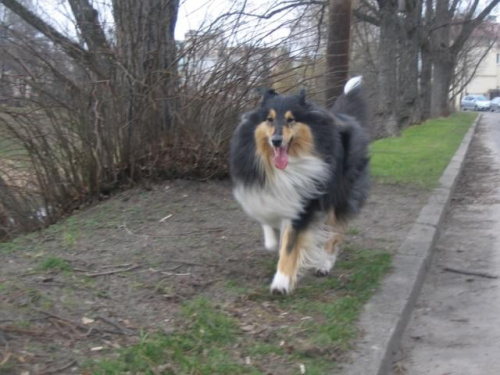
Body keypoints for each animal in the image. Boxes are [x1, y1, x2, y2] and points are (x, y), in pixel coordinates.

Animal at [229, 76, 370, 296]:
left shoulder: (303, 203)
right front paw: (273, 239)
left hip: (338, 193)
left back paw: (324, 264)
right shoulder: (266, 193)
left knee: (335, 231)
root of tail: (344, 116)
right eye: (269, 119)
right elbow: (268, 225)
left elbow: (289, 245)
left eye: (291, 119)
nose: (276, 141)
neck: (285, 167)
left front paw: (281, 283)